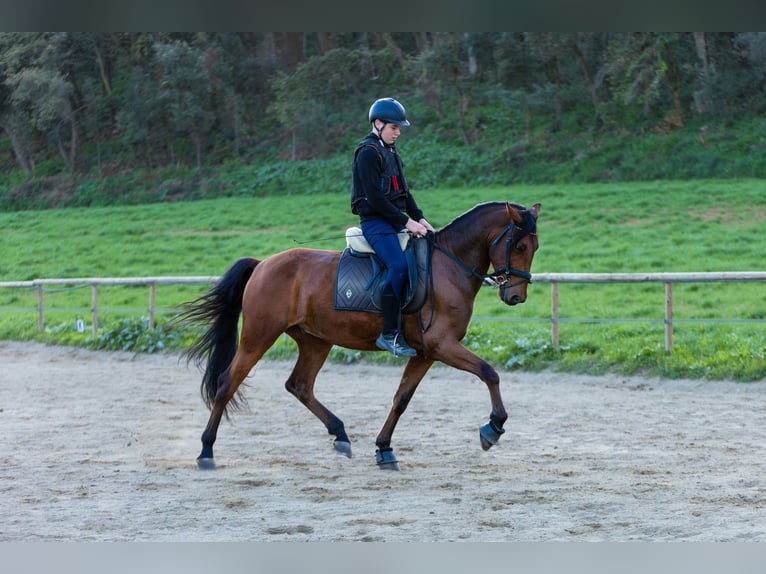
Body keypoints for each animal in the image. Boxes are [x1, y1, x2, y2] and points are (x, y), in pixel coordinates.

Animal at [177, 201, 540, 470]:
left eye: (535, 246)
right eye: (520, 244)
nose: (516, 297)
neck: (449, 266)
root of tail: (264, 263)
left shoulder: (426, 353)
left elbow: (401, 398)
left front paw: (384, 449)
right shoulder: (443, 345)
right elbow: (489, 373)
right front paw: (493, 428)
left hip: (316, 340)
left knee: (299, 385)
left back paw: (340, 435)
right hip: (259, 336)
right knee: (227, 383)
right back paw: (206, 452)